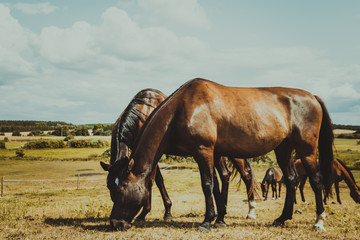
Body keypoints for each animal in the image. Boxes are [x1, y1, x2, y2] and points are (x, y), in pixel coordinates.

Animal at [102, 79, 334, 232]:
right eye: (110, 188)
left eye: (121, 187)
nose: (115, 223)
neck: (182, 109)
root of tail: (312, 97)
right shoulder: (211, 154)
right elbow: (215, 184)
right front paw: (218, 218)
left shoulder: (203, 151)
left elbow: (207, 184)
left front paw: (207, 221)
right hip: (283, 149)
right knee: (291, 179)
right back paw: (282, 218)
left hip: (306, 150)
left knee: (316, 180)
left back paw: (318, 222)